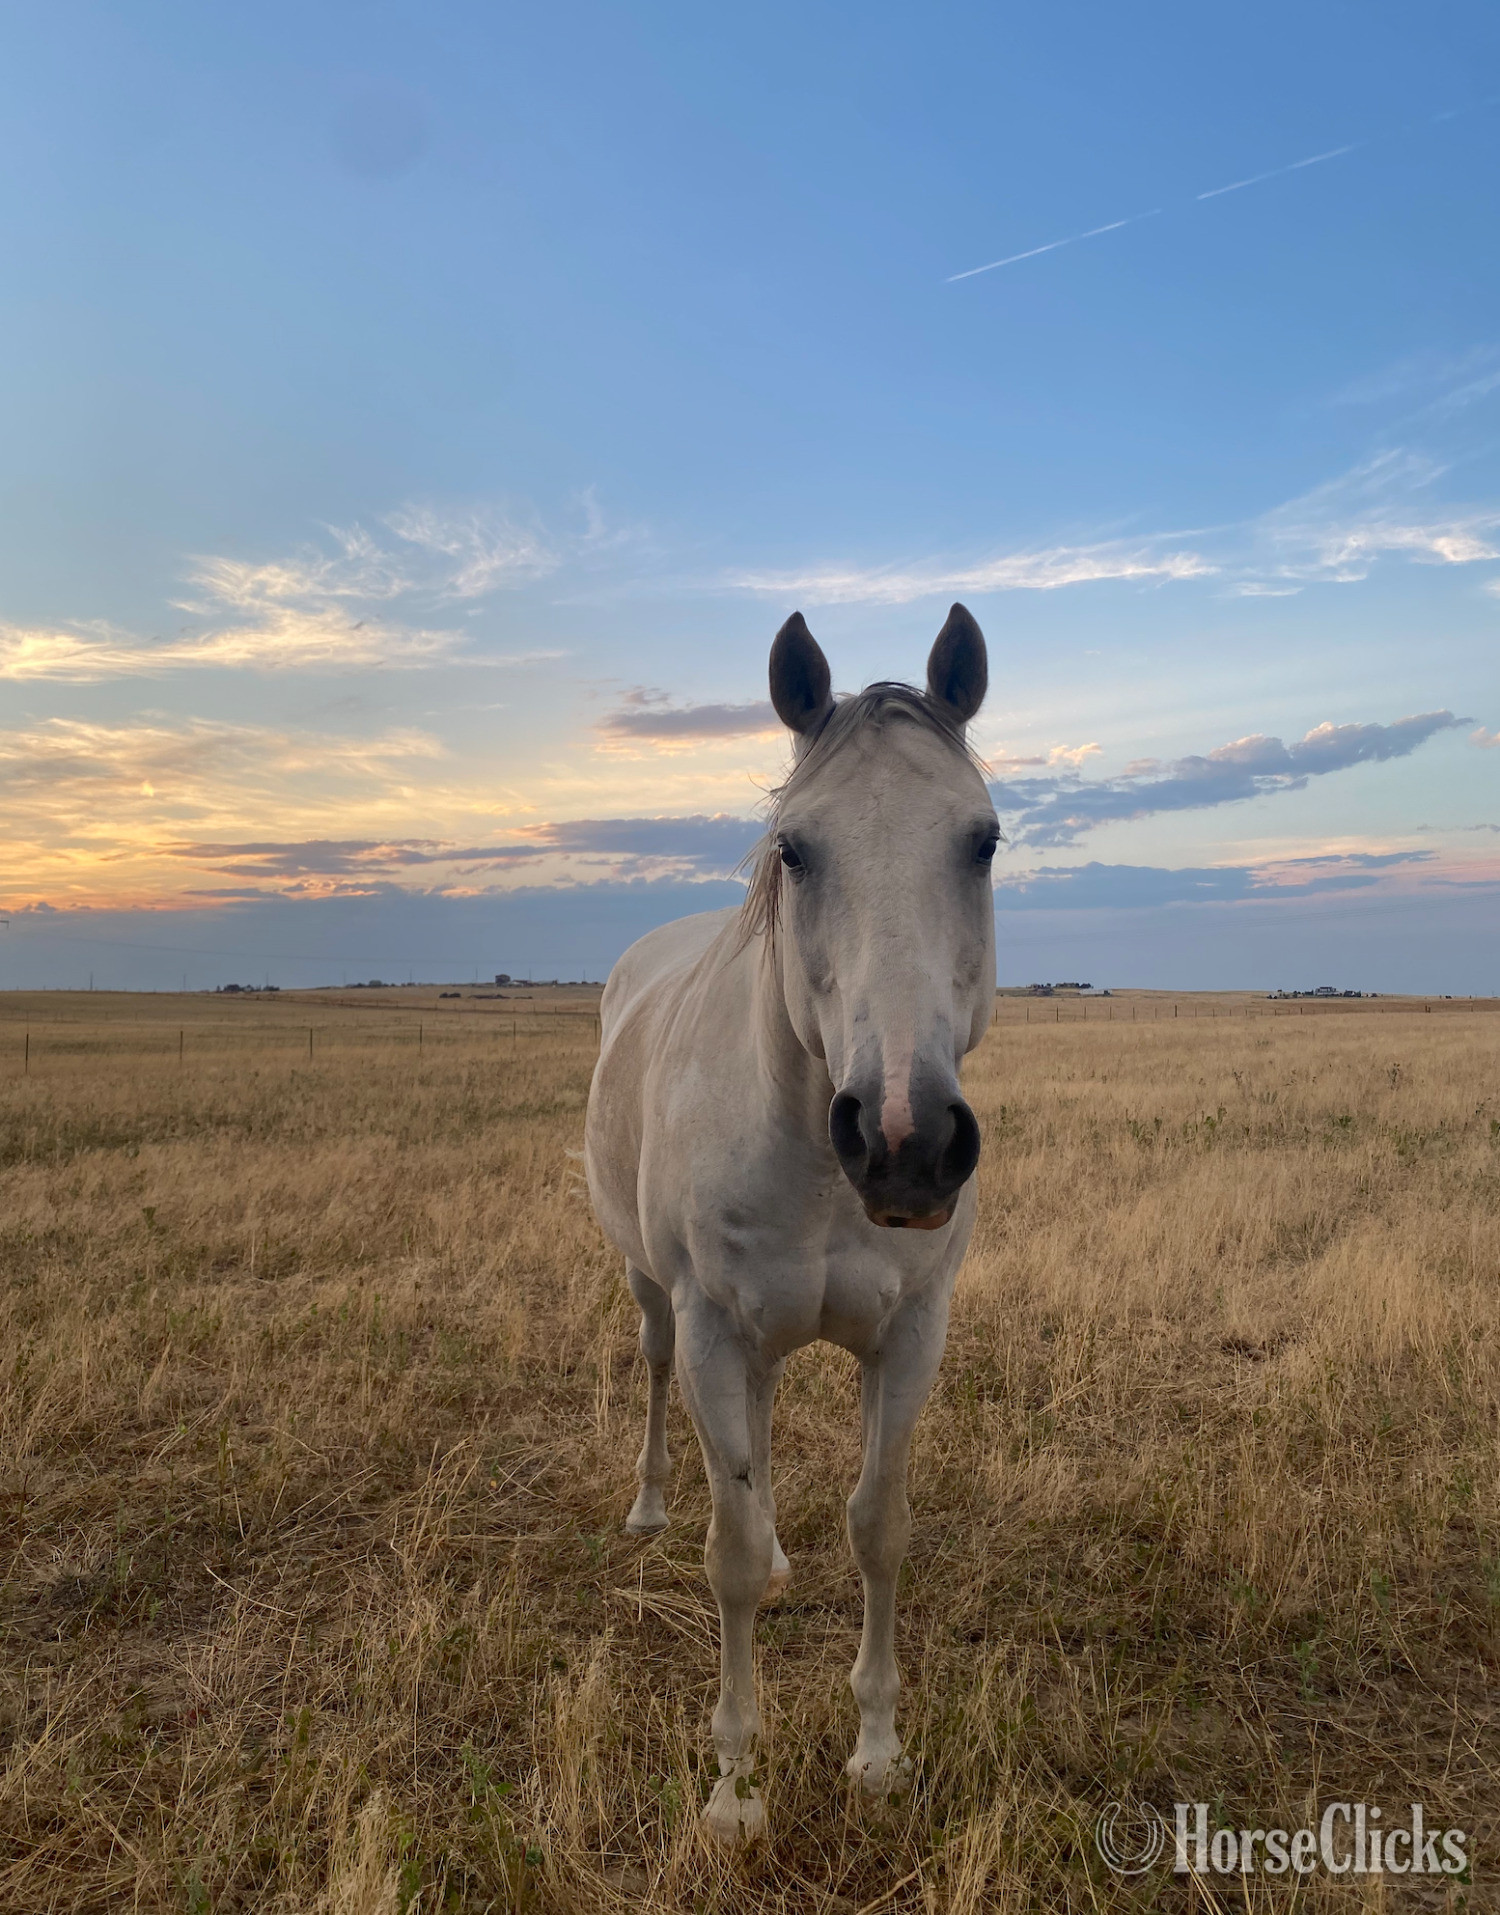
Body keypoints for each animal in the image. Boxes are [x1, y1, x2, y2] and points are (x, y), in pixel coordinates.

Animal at [584, 604, 997, 1842]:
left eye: (983, 841)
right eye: (795, 850)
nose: (905, 1139)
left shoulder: (911, 1334)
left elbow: (878, 1525)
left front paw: (878, 1751)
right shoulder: (715, 1328)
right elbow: (723, 1559)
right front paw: (735, 1787)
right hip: (660, 1302)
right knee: (661, 1383)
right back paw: (651, 1505)